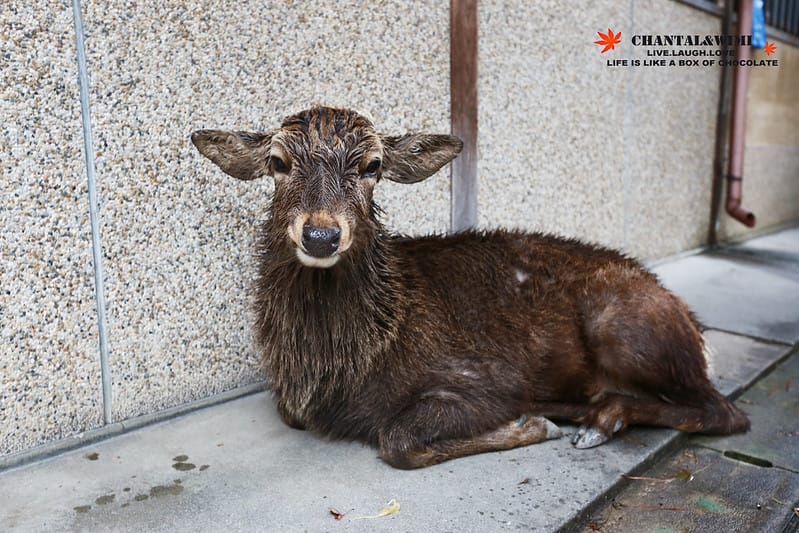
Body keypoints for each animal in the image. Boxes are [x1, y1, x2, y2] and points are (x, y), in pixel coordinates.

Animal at [191, 105, 750, 469]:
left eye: (373, 166)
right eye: (278, 162)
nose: (321, 234)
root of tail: (698, 332)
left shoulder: (488, 380)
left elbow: (398, 438)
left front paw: (530, 426)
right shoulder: (291, 402)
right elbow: (294, 416)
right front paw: (539, 421)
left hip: (625, 325)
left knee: (725, 412)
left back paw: (599, 420)